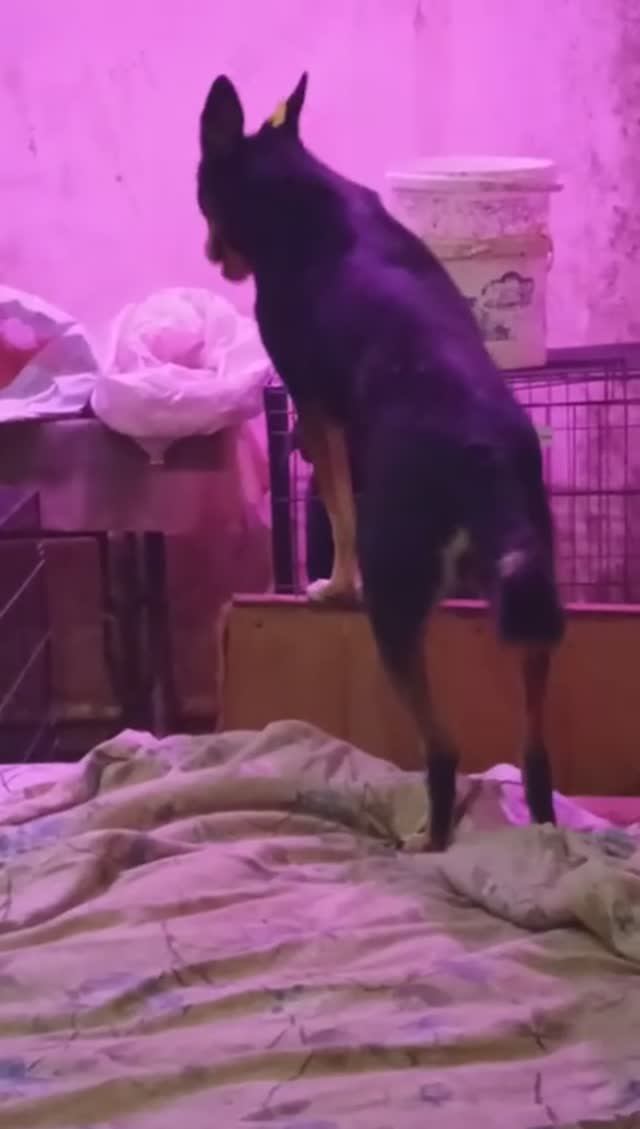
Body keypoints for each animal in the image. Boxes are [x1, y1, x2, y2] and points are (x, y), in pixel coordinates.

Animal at [197, 73, 565, 850]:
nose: (216, 257)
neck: (299, 189)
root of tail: (483, 455)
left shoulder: (315, 408)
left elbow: (338, 509)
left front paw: (334, 586)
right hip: (531, 589)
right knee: (535, 750)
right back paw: (545, 834)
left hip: (397, 602)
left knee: (442, 747)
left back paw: (427, 841)